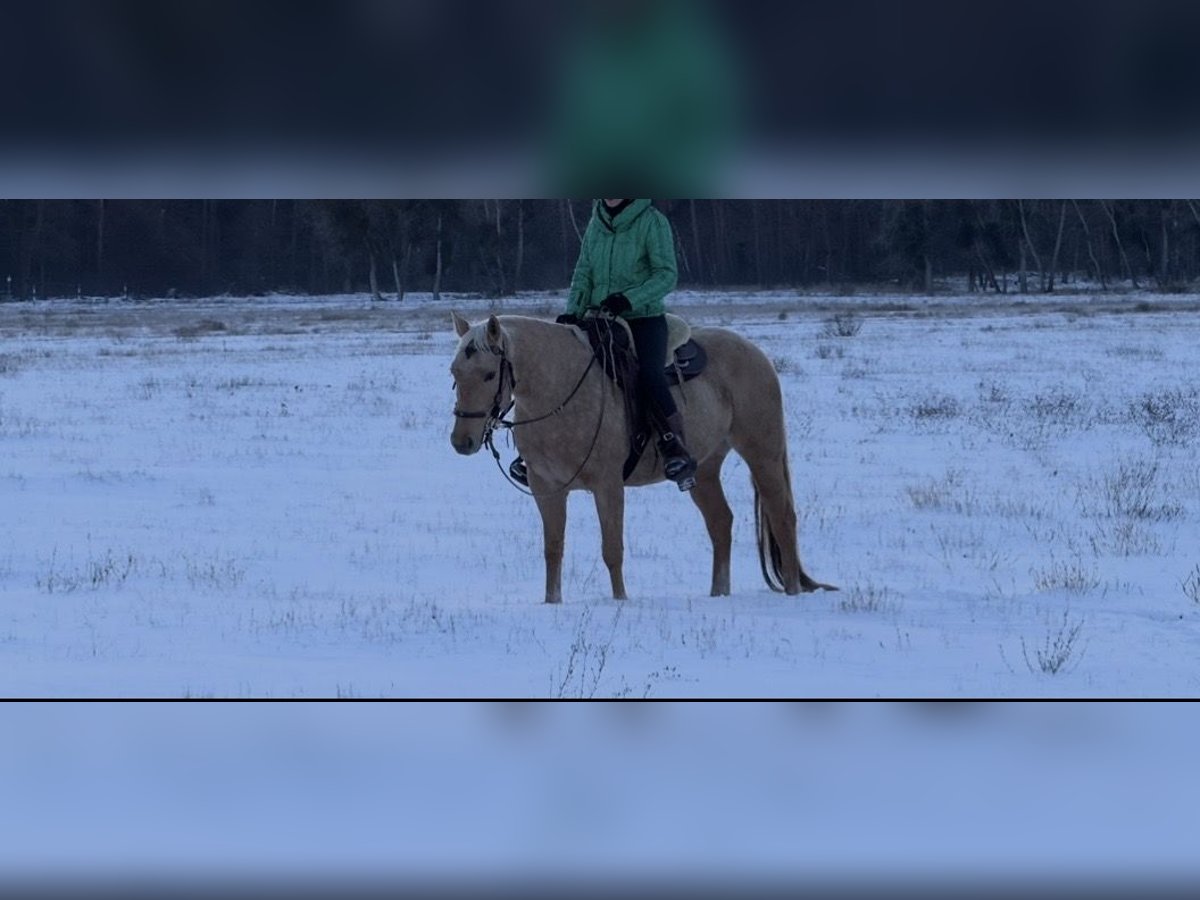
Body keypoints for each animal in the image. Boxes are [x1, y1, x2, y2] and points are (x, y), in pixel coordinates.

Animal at [449, 310, 835, 604]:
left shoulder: (608, 486)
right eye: (454, 373)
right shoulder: (548, 489)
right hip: (703, 469)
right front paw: (552, 602)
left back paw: (792, 590)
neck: (561, 388)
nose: (461, 441)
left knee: (782, 515)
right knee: (720, 522)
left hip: (762, 452)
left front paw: (620, 601)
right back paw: (718, 594)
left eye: (488, 374)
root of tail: (756, 354)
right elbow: (553, 549)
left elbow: (612, 549)